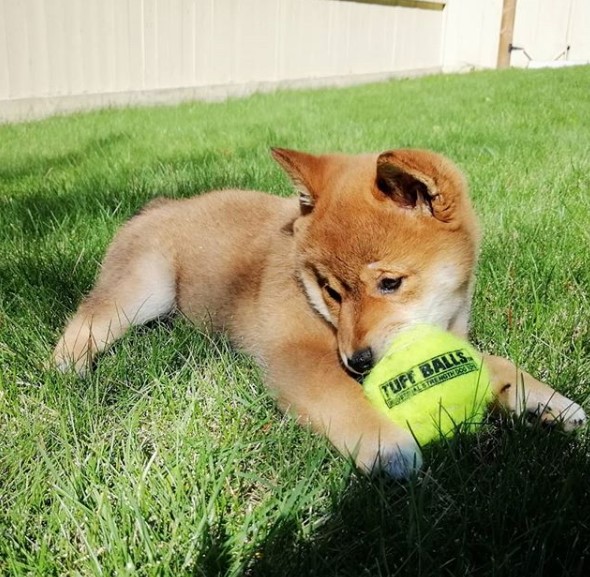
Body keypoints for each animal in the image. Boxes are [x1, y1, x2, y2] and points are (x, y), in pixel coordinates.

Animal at [53, 147, 588, 476]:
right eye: (330, 290)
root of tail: (159, 205)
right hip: (145, 288)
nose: (358, 361)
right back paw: (71, 367)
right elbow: (342, 398)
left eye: (390, 283)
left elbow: (498, 365)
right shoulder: (297, 354)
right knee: (87, 319)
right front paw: (389, 446)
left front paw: (548, 402)